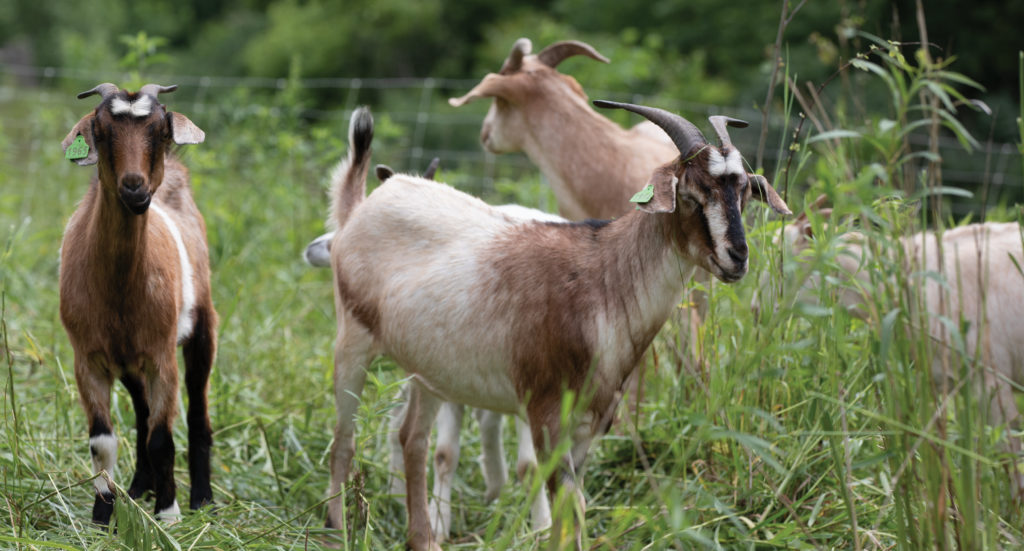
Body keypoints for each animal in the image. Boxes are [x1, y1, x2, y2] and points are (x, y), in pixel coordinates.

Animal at [59, 83, 216, 523]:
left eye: (161, 132)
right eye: (100, 131)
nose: (134, 188)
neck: (119, 291)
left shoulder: (161, 354)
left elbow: (163, 439)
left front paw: (169, 513)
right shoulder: (88, 357)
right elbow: (103, 441)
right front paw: (102, 514)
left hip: (203, 327)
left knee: (197, 410)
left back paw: (202, 498)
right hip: (129, 360)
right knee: (143, 413)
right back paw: (139, 487)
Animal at [323, 102, 790, 550]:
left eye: (745, 193)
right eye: (691, 194)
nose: (737, 257)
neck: (605, 278)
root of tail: (362, 206)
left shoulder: (589, 425)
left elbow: (574, 512)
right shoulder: (545, 413)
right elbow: (569, 512)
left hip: (428, 371)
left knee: (412, 440)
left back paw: (423, 540)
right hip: (352, 339)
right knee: (344, 440)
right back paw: (336, 532)